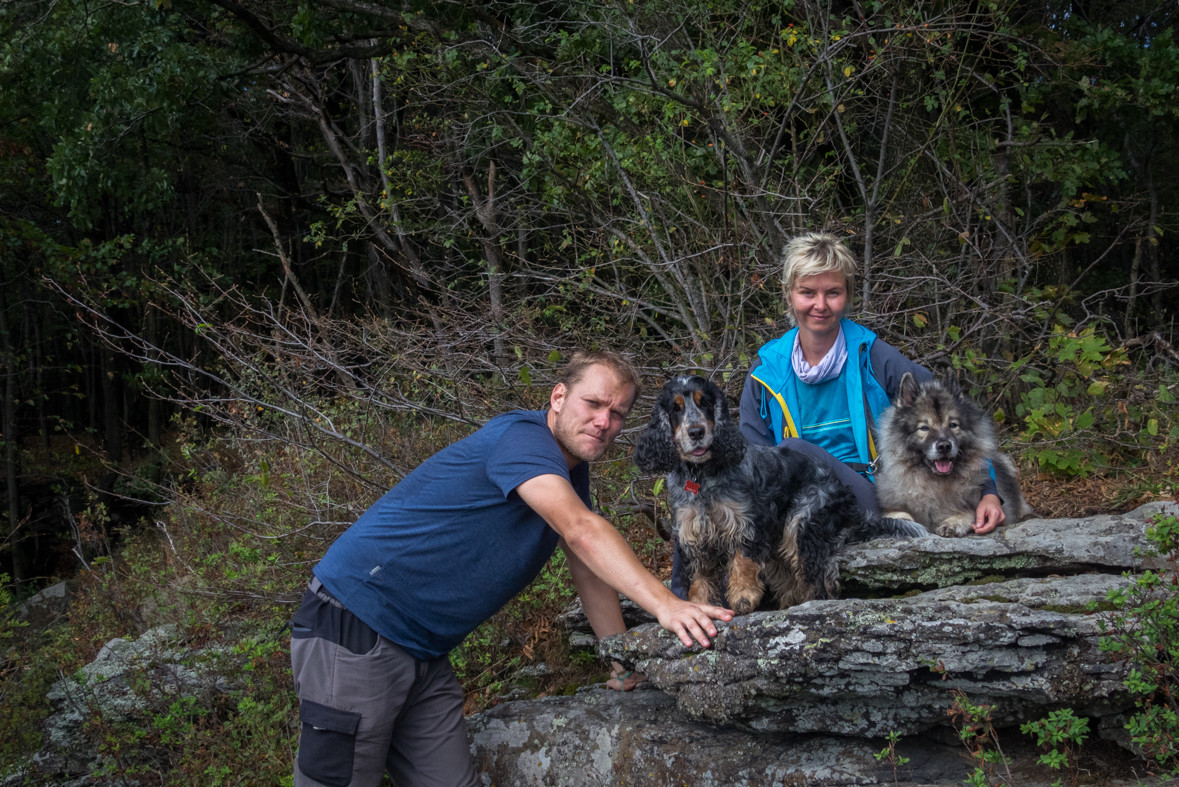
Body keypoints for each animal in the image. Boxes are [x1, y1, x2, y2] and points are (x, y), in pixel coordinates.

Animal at [877, 372, 1032, 537]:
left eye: (953, 425)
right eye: (924, 428)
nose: (944, 446)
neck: (935, 482)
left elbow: (970, 512)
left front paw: (953, 522)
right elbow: (896, 514)